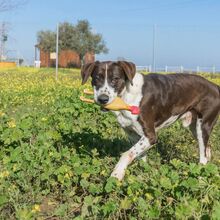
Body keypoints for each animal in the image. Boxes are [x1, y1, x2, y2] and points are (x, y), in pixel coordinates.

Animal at [81, 60, 220, 180]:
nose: (102, 99)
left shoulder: (150, 136)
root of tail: (214, 85)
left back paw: (200, 176)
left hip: (203, 125)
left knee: (203, 155)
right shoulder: (133, 134)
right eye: (96, 78)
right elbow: (139, 155)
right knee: (207, 148)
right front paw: (143, 172)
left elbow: (126, 154)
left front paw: (117, 174)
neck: (127, 96)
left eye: (115, 79)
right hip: (195, 127)